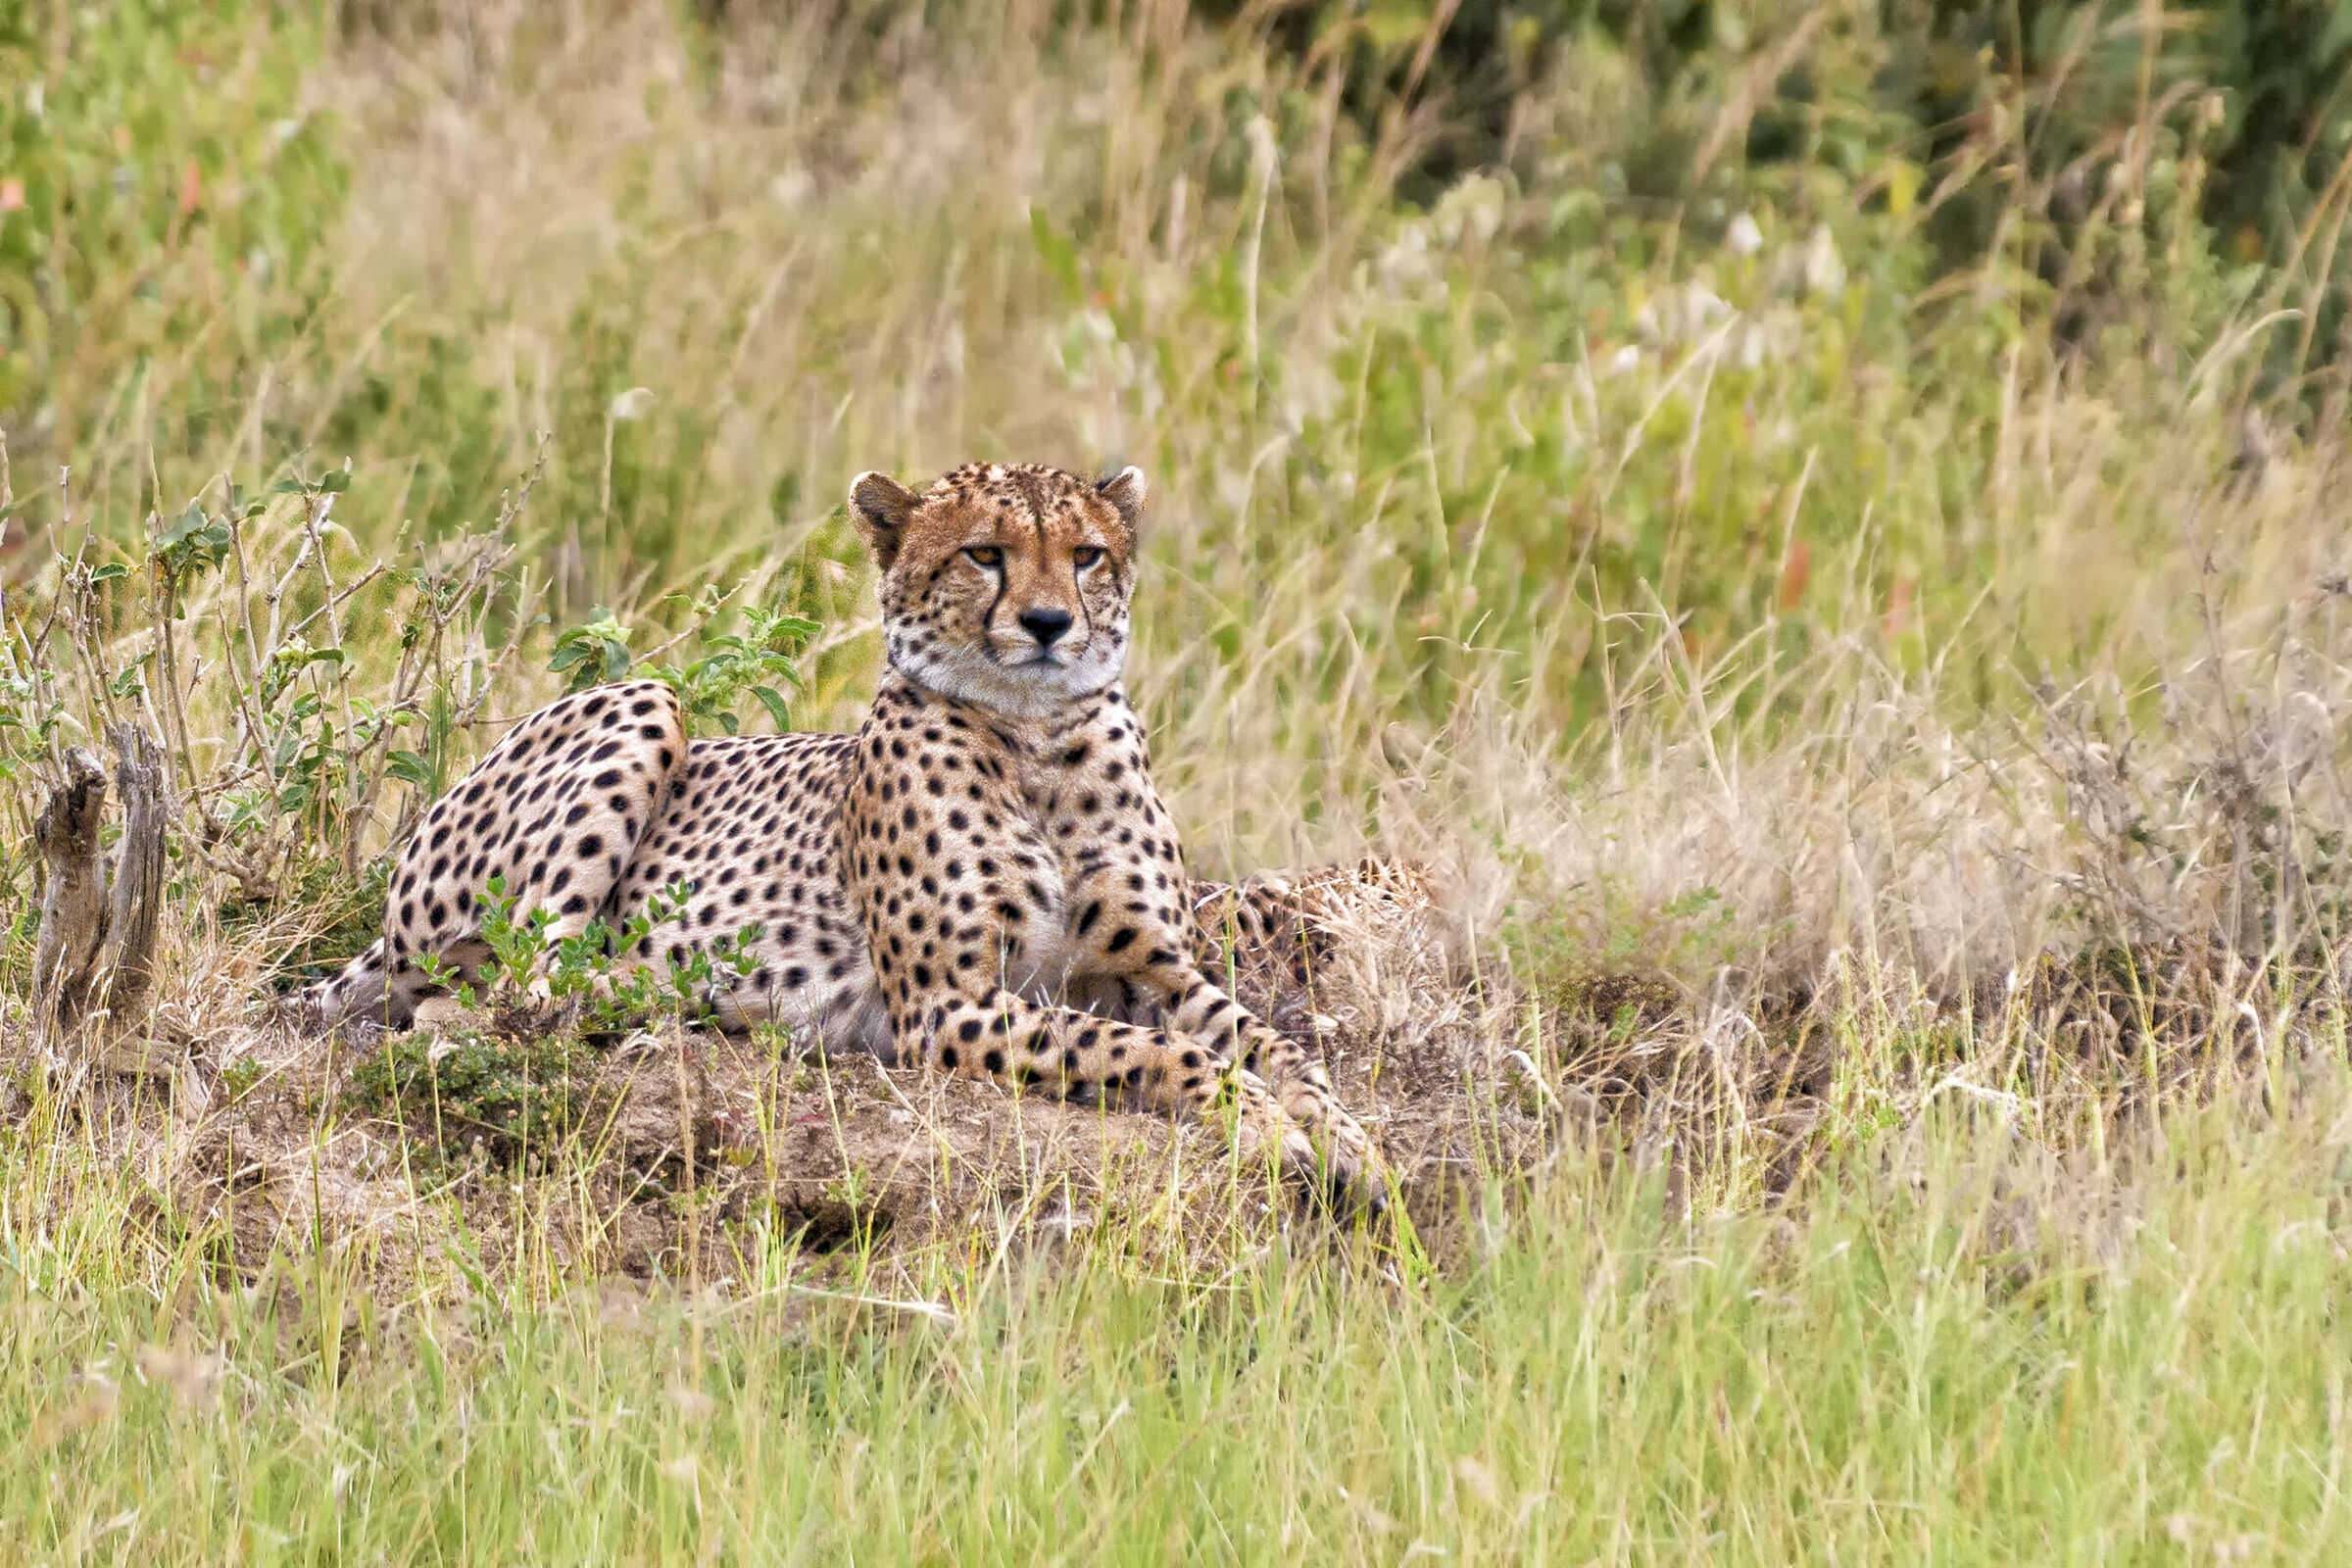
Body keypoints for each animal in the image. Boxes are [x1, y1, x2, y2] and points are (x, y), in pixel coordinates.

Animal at [307, 461, 1391, 1206]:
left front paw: (1342, 1134)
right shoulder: (947, 1005)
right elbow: (1154, 1053)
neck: (1039, 739)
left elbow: (1271, 1044)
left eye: (1087, 555)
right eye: (984, 553)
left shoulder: (1153, 970)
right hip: (642, 700)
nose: (1048, 624)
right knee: (487, 1001)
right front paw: (1262, 1124)